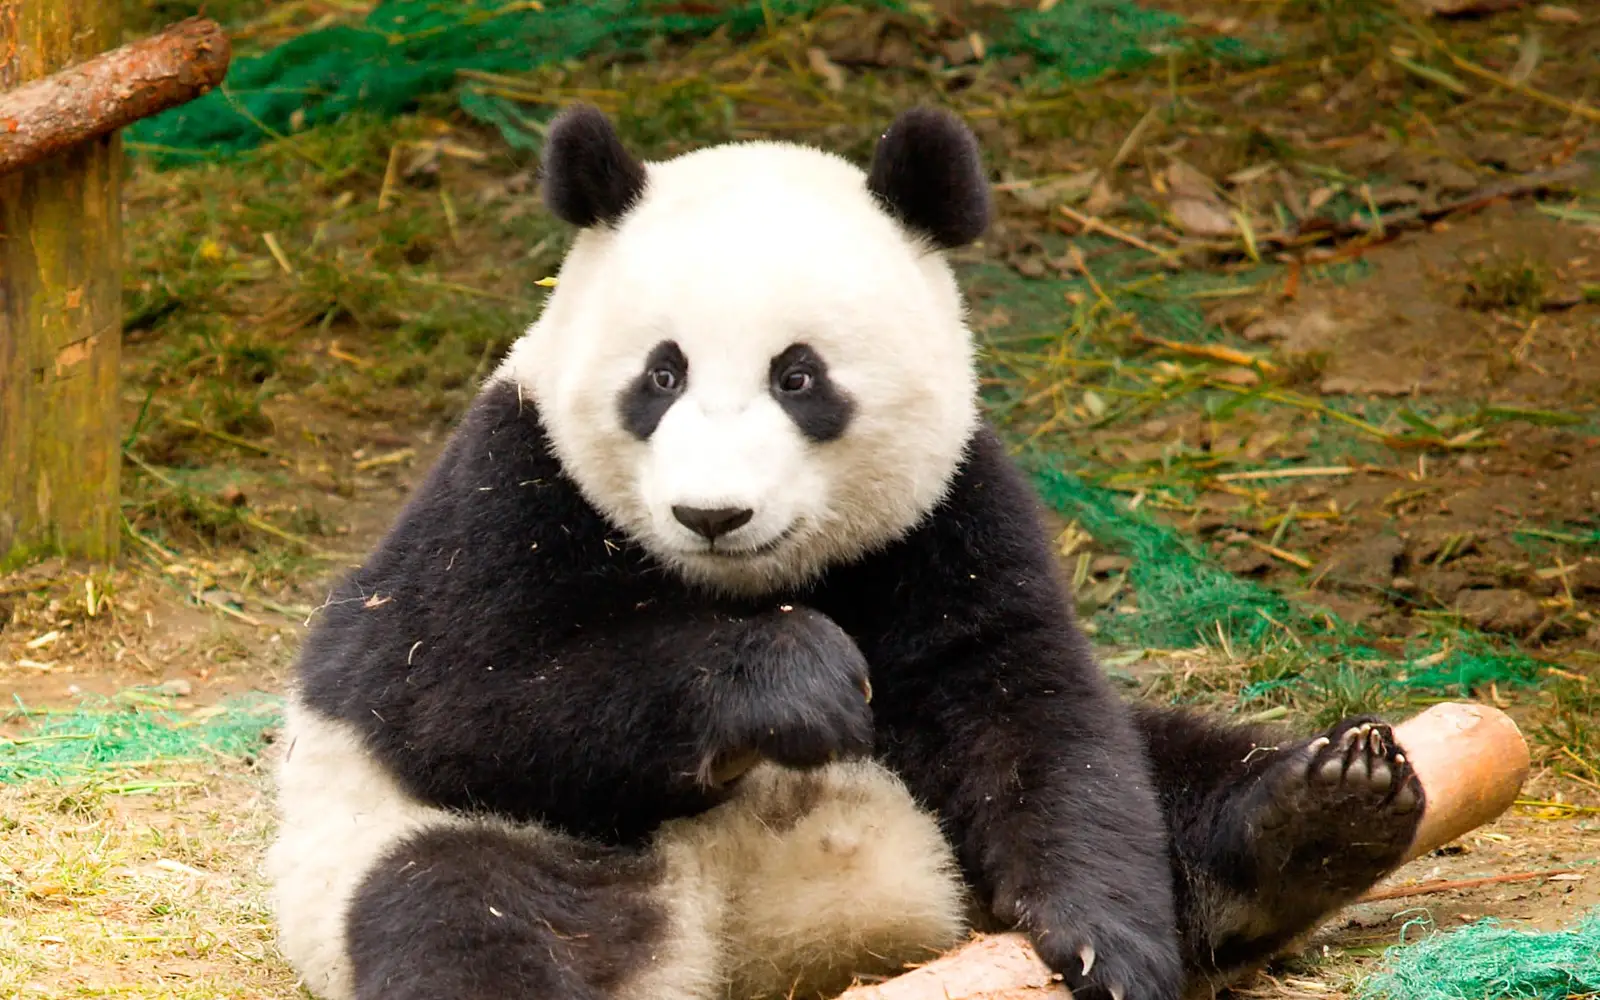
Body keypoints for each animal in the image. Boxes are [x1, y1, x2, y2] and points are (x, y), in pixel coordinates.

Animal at [265, 105, 1427, 1000]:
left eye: (799, 376)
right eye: (660, 374)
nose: (712, 513)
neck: (744, 581)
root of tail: (754, 942)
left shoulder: (951, 510)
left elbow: (1030, 709)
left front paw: (1109, 942)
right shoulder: (502, 488)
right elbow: (461, 691)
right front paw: (796, 676)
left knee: (1163, 763)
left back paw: (1326, 810)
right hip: (455, 849)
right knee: (464, 912)